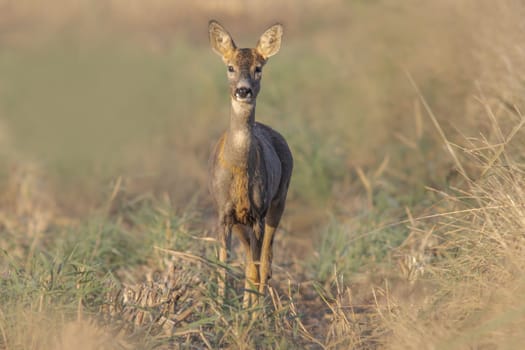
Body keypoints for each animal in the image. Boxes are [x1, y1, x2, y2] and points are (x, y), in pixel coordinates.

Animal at [207, 20, 292, 308]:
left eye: (259, 68)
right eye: (230, 67)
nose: (243, 90)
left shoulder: (258, 213)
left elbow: (256, 267)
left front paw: (250, 312)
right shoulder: (223, 214)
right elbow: (223, 266)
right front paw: (220, 309)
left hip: (278, 201)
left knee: (265, 262)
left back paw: (260, 307)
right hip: (241, 221)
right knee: (250, 261)